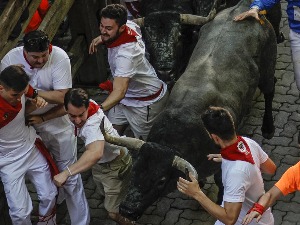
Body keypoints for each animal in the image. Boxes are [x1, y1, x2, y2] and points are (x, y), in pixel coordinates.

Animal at [103, 0, 276, 221]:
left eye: (161, 180)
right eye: (135, 170)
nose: (127, 209)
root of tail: (245, 8)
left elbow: (222, 182)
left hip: (268, 66)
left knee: (270, 91)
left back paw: (268, 128)